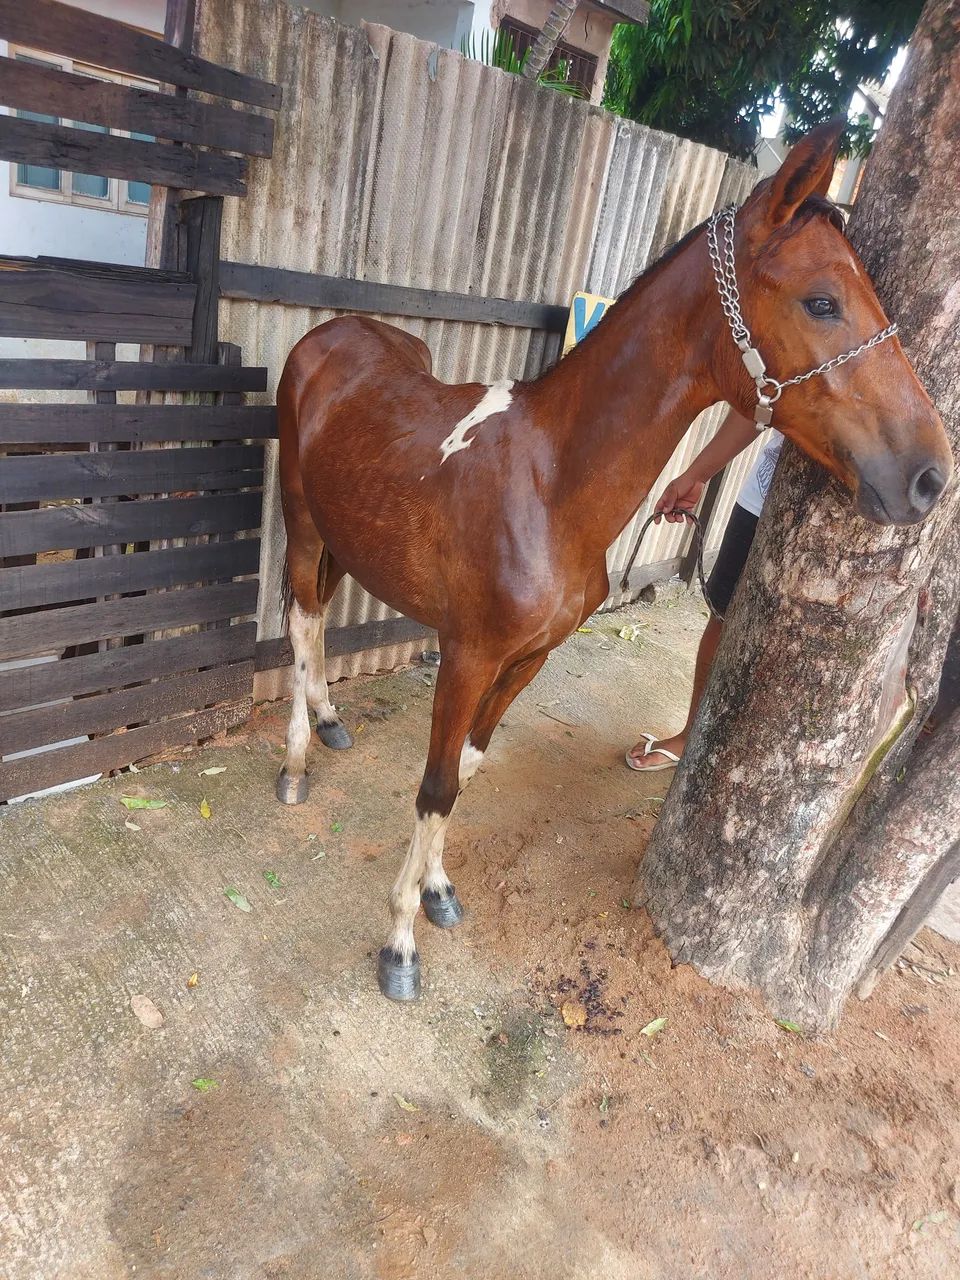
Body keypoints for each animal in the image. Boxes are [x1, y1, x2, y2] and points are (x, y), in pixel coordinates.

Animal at [272, 120, 953, 1001]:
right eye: (823, 301)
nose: (930, 475)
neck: (550, 484)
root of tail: (332, 335)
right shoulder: (466, 655)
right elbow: (437, 785)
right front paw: (400, 943)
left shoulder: (528, 658)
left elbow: (471, 767)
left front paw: (437, 890)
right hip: (301, 520)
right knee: (301, 619)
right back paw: (294, 761)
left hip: (348, 536)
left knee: (319, 618)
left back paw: (328, 720)